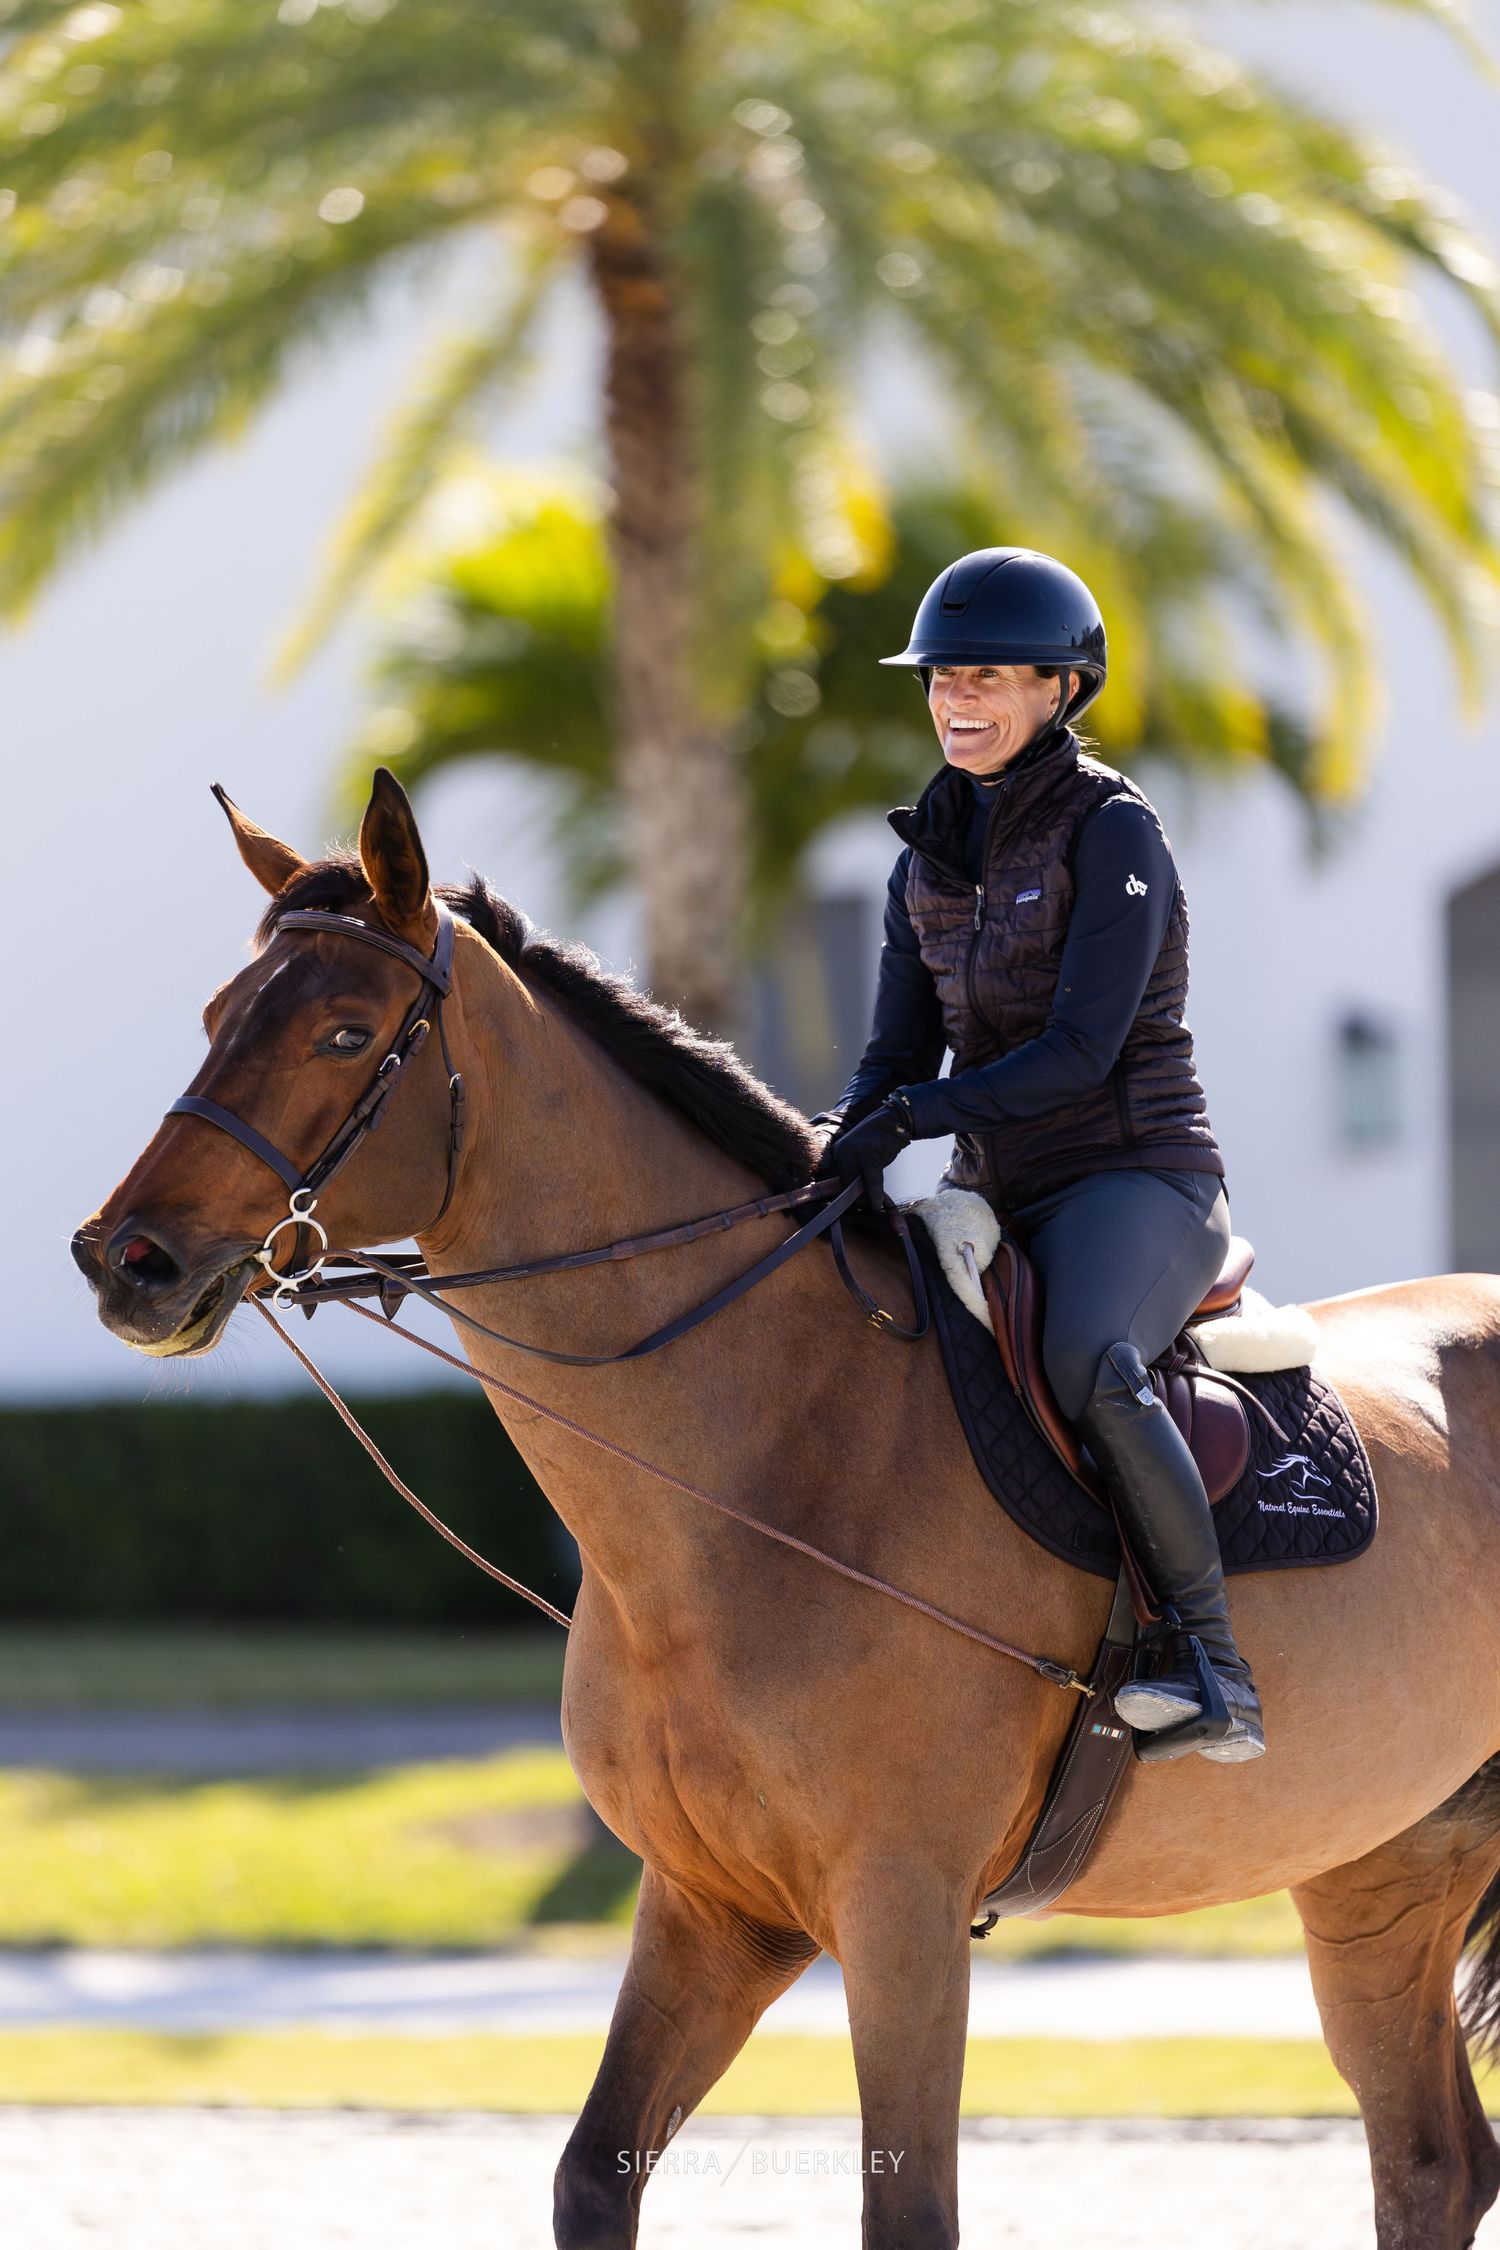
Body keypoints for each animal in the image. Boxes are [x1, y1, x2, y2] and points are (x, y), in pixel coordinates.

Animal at [72, 769, 1500, 2250]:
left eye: (346, 1032)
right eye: (217, 1017)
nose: (125, 1261)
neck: (756, 1469)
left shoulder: (900, 1911)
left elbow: (907, 2207)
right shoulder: (714, 1907)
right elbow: (594, 2171)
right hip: (1383, 1866)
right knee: (1434, 2160)